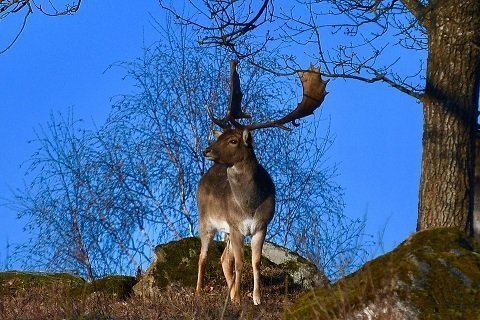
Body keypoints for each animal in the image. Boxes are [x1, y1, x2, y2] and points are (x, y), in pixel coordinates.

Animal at [194, 59, 326, 304]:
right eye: (219, 137)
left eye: (233, 140)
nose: (207, 150)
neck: (249, 204)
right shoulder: (236, 226)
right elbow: (240, 262)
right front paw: (238, 299)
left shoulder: (262, 225)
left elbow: (254, 262)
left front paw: (256, 298)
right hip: (206, 220)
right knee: (204, 255)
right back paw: (199, 292)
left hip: (225, 230)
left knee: (224, 258)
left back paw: (229, 292)